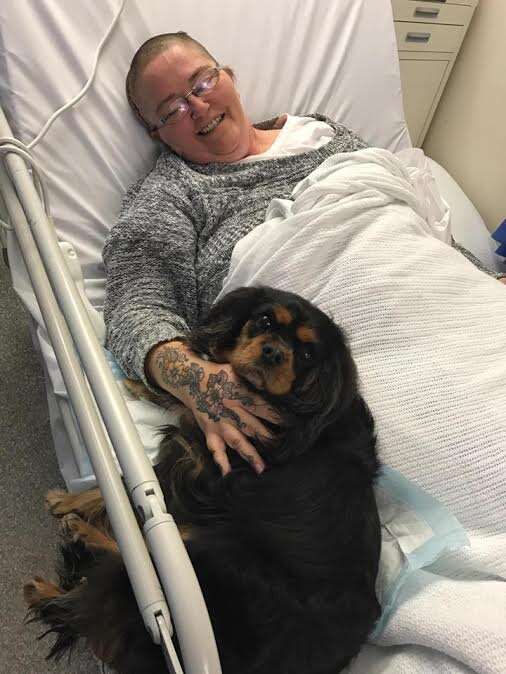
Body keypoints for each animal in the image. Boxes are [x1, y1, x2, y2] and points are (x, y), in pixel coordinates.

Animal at [23, 284, 380, 672]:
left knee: (136, 575)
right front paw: (144, 384)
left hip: (217, 554)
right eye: (265, 320)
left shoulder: (199, 464)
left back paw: (81, 539)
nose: (273, 352)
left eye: (306, 353)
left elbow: (126, 488)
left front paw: (71, 502)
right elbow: (195, 395)